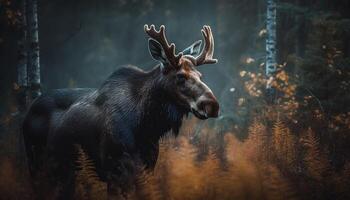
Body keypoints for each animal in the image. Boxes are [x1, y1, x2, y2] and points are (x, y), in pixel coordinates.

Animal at [22, 24, 219, 192]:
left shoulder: (147, 167)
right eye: (180, 76)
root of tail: (28, 110)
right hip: (35, 162)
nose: (212, 105)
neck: (147, 127)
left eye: (200, 75)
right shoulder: (114, 170)